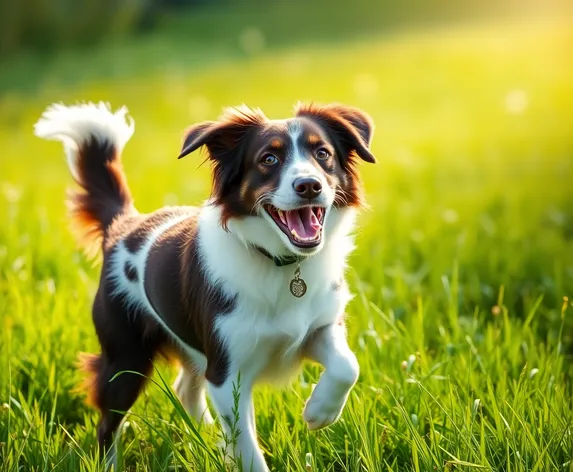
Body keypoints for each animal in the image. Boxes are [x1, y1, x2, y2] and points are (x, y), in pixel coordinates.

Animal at [34, 98, 376, 468]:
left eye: (323, 153)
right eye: (268, 159)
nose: (309, 185)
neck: (279, 262)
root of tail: (124, 224)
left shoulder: (318, 327)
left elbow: (347, 365)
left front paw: (319, 411)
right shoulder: (226, 372)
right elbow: (247, 448)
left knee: (186, 387)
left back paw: (208, 438)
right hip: (124, 357)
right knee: (109, 422)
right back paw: (112, 463)